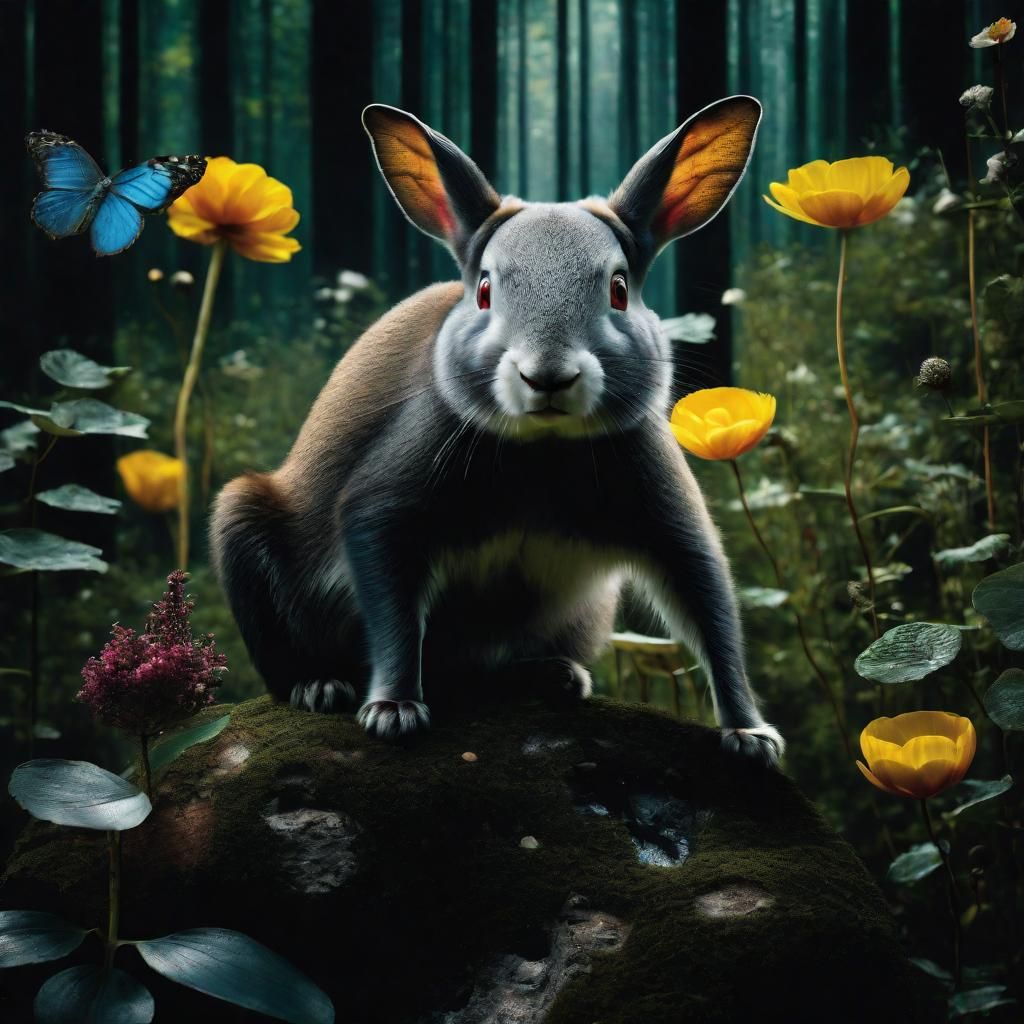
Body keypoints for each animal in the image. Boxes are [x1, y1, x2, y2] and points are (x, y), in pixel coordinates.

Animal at [210, 95, 784, 767]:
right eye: (484, 289)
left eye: (619, 289)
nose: (548, 376)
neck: (542, 455)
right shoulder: (382, 513)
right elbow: (392, 610)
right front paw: (393, 710)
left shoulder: (672, 525)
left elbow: (710, 604)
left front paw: (752, 735)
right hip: (241, 521)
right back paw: (319, 686)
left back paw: (554, 675)